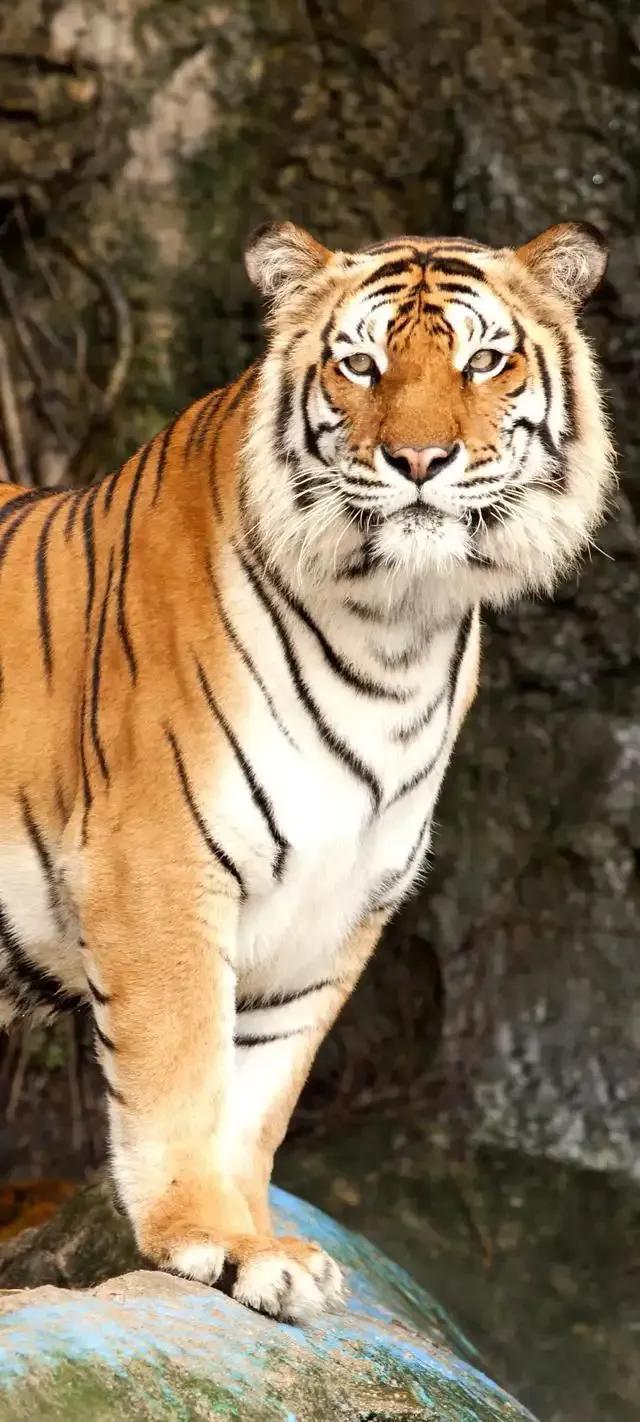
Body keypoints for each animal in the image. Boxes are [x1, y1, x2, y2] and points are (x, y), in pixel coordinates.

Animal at [0, 219, 612, 1322]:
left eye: (482, 362)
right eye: (360, 365)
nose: (419, 460)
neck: (397, 628)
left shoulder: (335, 907)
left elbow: (257, 1100)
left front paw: (263, 1249)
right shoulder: (155, 868)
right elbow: (178, 1066)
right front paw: (204, 1236)